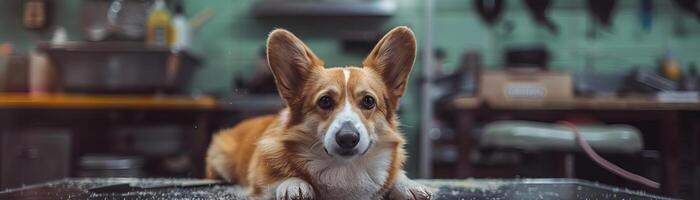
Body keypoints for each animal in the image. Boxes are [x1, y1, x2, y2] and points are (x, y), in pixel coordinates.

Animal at [205, 27, 430, 200]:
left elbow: (395, 175)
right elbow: (272, 179)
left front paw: (407, 184)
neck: (344, 168)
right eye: (325, 101)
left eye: (368, 101)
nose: (347, 138)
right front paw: (294, 185)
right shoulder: (259, 174)